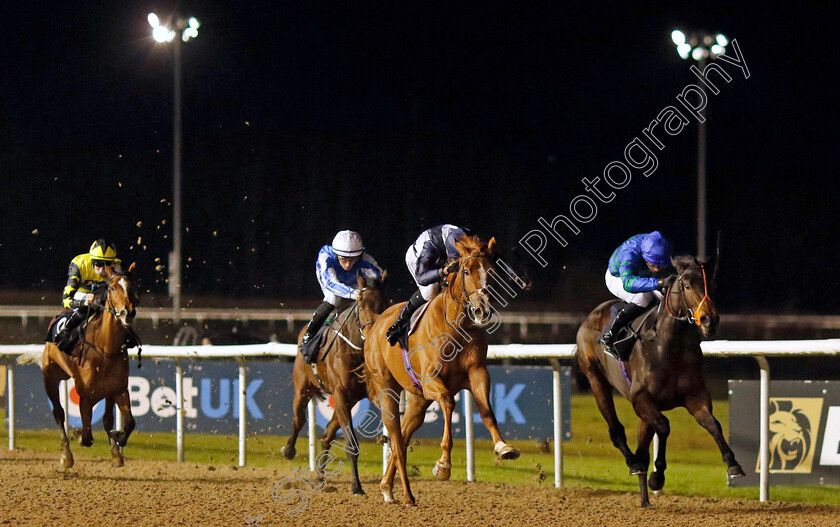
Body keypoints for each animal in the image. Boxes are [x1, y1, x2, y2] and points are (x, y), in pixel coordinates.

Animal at [28, 266, 139, 468]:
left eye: (133, 287)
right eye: (112, 288)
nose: (128, 313)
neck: (105, 349)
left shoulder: (119, 389)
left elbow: (127, 423)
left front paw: (117, 441)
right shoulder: (85, 397)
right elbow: (87, 436)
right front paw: (78, 435)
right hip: (50, 377)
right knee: (59, 412)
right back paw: (66, 455)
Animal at [280, 274, 388, 498]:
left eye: (386, 302)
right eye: (361, 304)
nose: (373, 333)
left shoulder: (364, 394)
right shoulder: (341, 394)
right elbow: (352, 446)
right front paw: (356, 487)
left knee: (326, 436)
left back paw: (320, 478)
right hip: (303, 388)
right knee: (298, 420)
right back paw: (289, 450)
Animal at [366, 236, 520, 508]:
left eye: (491, 272)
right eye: (466, 271)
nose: (482, 310)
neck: (457, 326)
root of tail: (375, 324)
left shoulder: (478, 373)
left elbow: (487, 411)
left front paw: (503, 447)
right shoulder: (432, 381)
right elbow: (448, 403)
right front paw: (443, 465)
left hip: (418, 401)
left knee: (403, 436)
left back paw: (387, 487)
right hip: (387, 390)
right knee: (396, 438)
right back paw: (407, 495)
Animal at [576, 256, 744, 508]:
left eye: (712, 286)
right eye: (687, 285)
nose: (710, 320)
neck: (669, 344)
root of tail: (593, 315)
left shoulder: (695, 396)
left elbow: (713, 424)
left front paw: (733, 464)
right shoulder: (640, 398)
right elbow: (664, 426)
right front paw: (658, 476)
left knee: (642, 445)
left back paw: (644, 497)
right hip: (597, 381)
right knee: (616, 430)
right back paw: (633, 464)